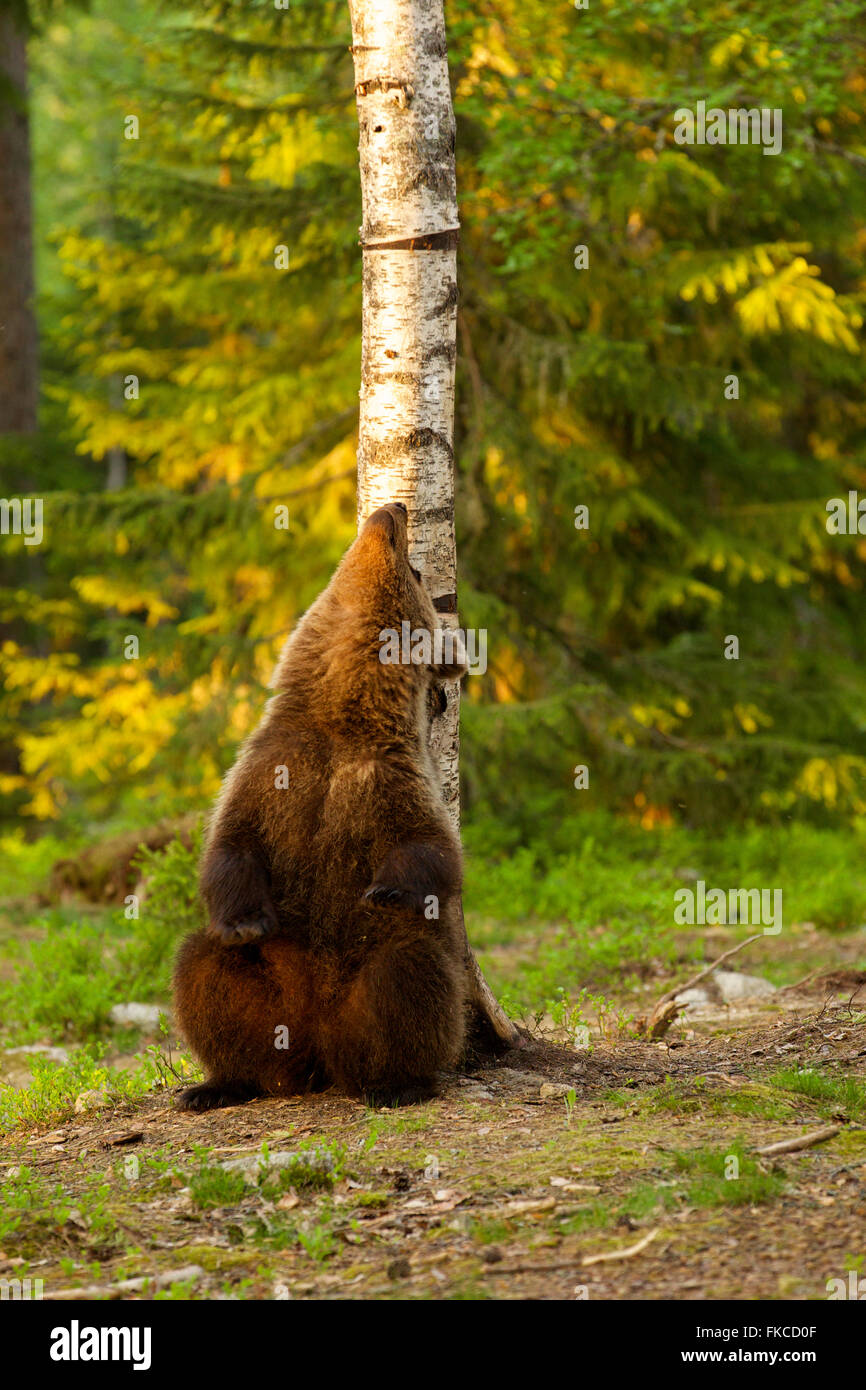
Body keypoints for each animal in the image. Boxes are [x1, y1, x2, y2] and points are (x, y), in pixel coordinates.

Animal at [174, 500, 467, 1106]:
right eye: (413, 568)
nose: (394, 507)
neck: (343, 707)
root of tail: (318, 1048)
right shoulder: (270, 768)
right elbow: (231, 846)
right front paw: (246, 921)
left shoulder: (391, 775)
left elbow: (432, 848)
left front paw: (387, 888)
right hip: (269, 1001)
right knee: (203, 965)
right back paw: (220, 1082)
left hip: (365, 993)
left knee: (409, 971)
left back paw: (397, 1081)